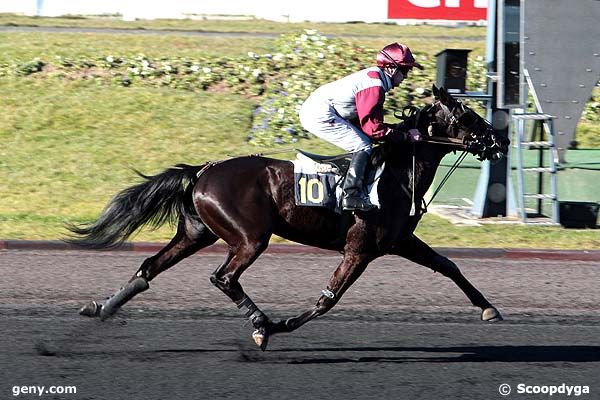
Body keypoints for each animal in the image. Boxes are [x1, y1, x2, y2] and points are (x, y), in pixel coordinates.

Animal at [70, 85, 510, 350]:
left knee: (149, 267)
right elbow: (328, 300)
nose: (501, 139)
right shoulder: (360, 250)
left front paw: (489, 307)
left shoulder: (399, 241)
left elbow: (448, 265)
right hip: (249, 238)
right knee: (223, 277)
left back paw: (102, 308)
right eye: (466, 116)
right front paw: (281, 325)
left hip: (197, 233)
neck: (395, 173)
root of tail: (203, 170)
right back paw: (262, 323)